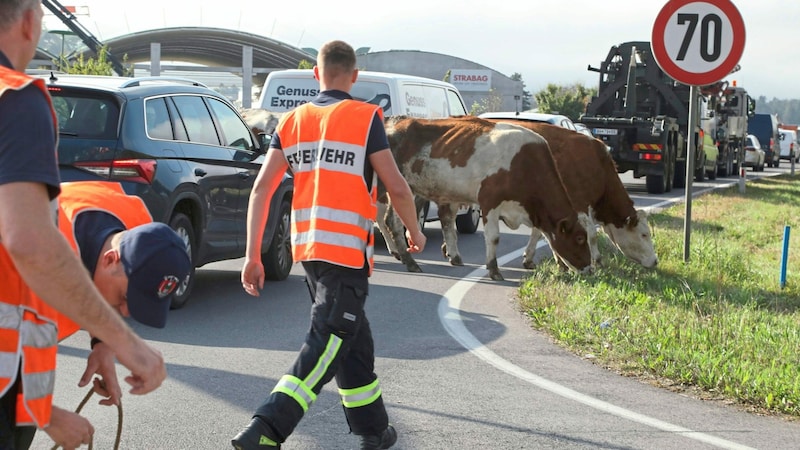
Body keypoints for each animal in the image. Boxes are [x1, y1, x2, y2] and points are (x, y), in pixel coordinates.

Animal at [382, 114, 592, 280]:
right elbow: (494, 237)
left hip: (422, 191)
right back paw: (410, 262)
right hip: (402, 188)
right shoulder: (489, 202)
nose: (590, 268)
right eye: (580, 238)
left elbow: (542, 235)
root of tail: (396, 121)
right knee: (393, 222)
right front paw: (494, 270)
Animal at [484, 119, 660, 268]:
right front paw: (597, 260)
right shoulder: (577, 202)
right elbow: (591, 234)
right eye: (644, 234)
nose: (655, 261)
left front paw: (539, 259)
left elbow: (540, 232)